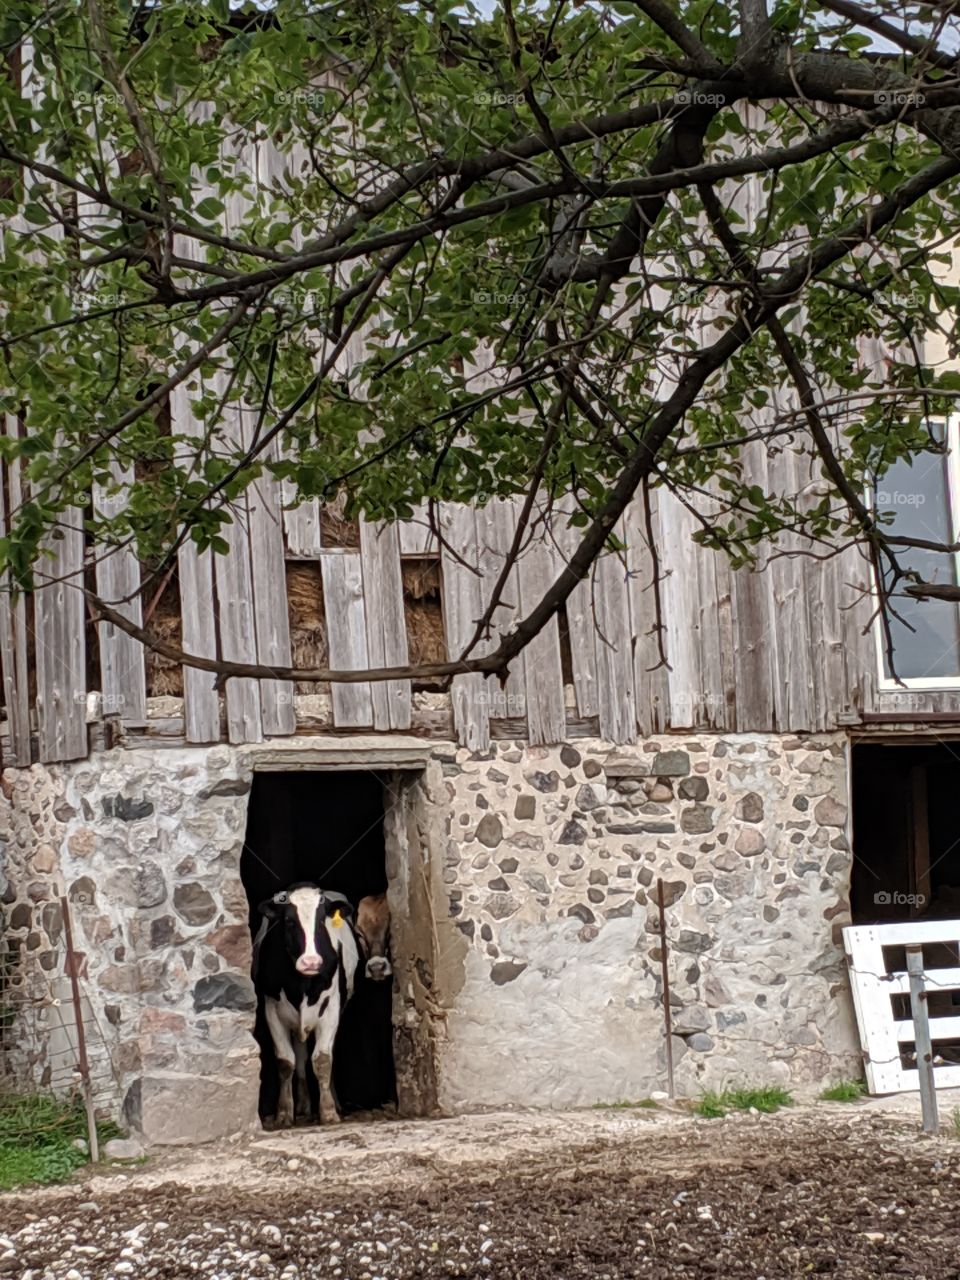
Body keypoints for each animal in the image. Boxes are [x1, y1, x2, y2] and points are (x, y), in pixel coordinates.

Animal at [253, 882, 360, 1126]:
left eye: (321, 921)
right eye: (289, 921)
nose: (311, 962)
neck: (301, 986)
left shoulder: (331, 1010)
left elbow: (323, 1060)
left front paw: (328, 1112)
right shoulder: (271, 1010)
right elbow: (286, 1061)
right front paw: (284, 1113)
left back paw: (334, 1103)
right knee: (300, 1057)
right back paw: (302, 1107)